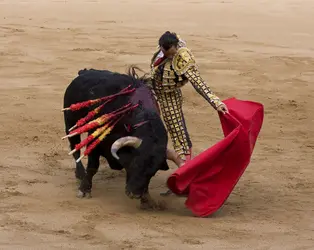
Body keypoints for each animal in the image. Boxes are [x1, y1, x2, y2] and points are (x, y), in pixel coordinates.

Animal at [62, 67, 180, 206]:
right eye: (135, 165)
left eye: (153, 172)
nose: (135, 194)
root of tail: (84, 71)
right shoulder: (95, 140)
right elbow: (92, 166)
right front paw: (84, 190)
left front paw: (146, 199)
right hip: (70, 121)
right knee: (75, 148)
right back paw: (80, 174)